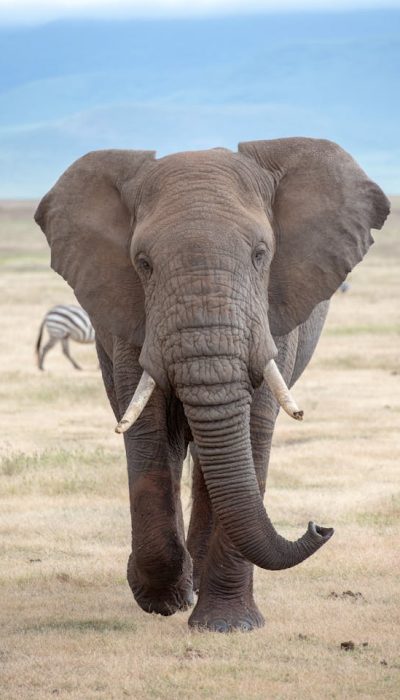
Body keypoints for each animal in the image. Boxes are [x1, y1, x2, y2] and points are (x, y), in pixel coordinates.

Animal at [35, 138, 390, 632]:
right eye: (142, 264)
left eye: (261, 254)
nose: (320, 526)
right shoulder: (130, 316)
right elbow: (147, 431)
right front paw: (164, 598)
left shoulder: (273, 312)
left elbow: (253, 428)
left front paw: (227, 626)